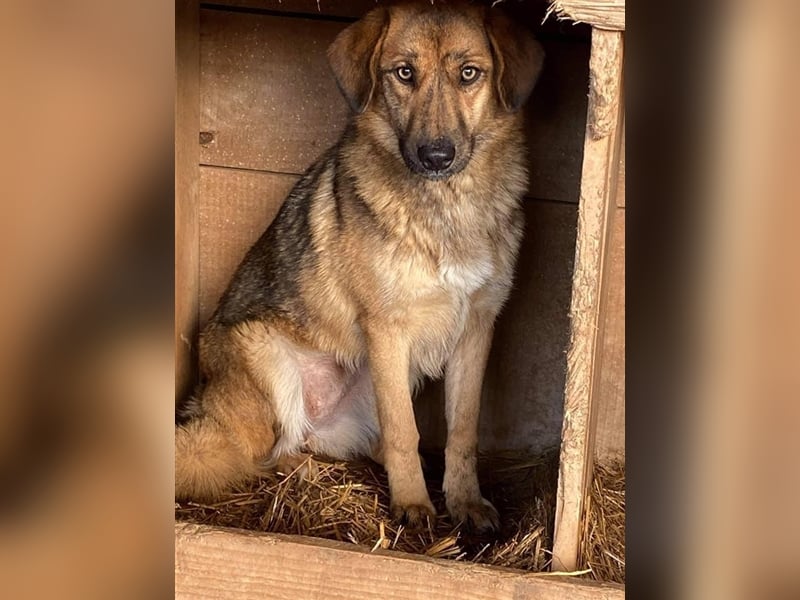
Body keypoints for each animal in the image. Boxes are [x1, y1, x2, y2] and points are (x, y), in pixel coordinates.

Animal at [176, 0, 544, 532]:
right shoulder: (388, 329)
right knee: (264, 455)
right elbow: (404, 431)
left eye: (469, 74)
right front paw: (414, 506)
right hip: (264, 356)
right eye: (404, 73)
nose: (436, 155)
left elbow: (462, 431)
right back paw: (304, 472)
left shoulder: (476, 328)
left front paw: (465, 502)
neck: (445, 207)